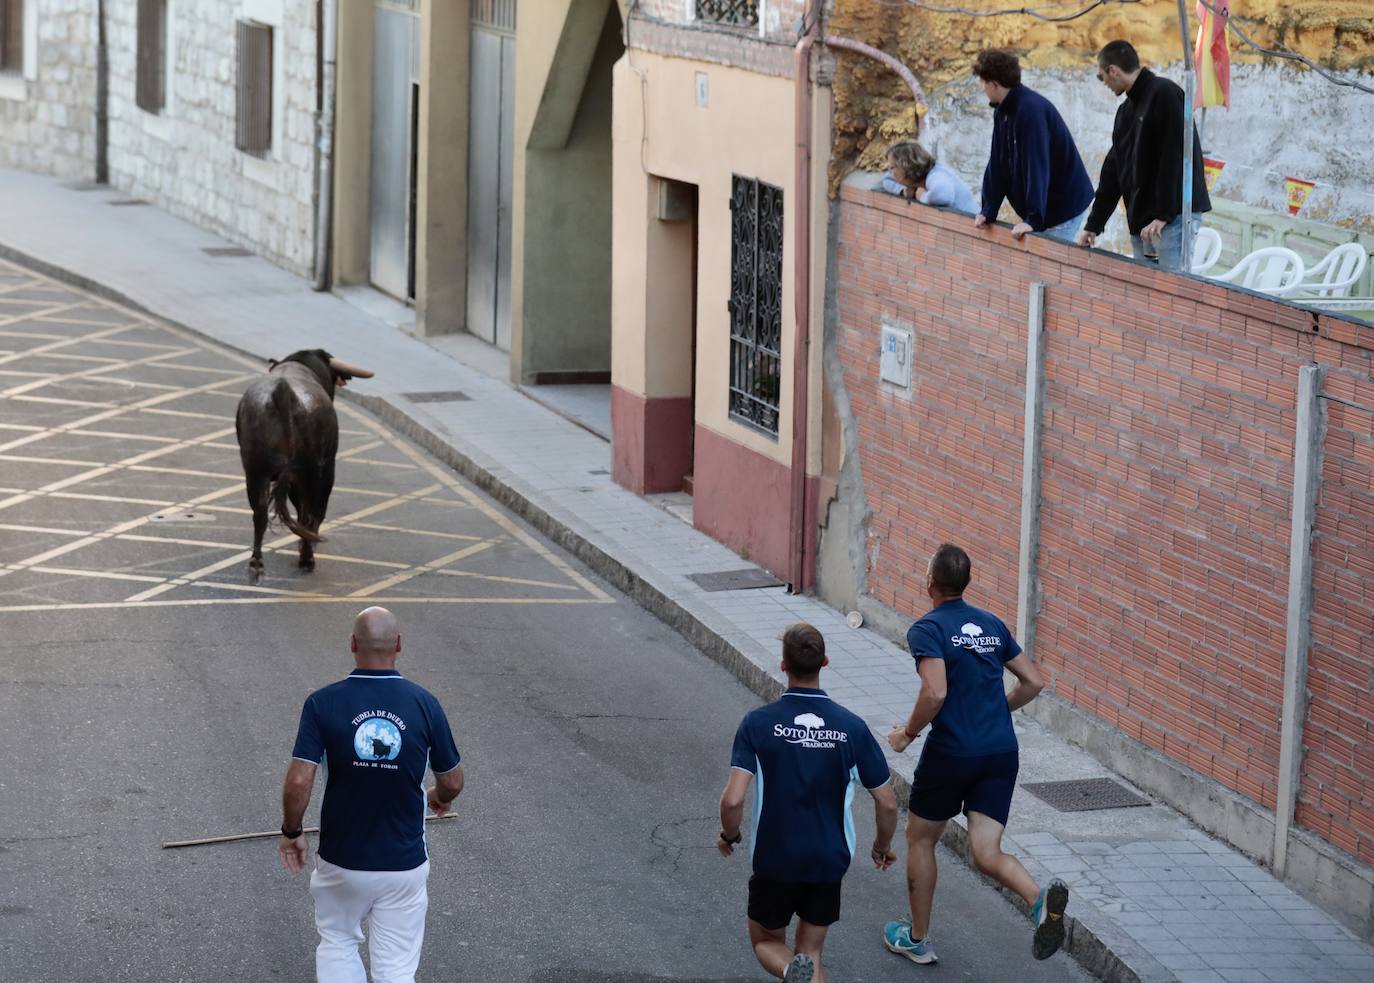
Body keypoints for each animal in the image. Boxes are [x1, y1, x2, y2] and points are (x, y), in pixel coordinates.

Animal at [233, 350, 370, 580]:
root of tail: (283, 391)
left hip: (255, 471)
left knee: (260, 513)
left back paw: (256, 562)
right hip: (315, 473)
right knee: (311, 513)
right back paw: (306, 557)